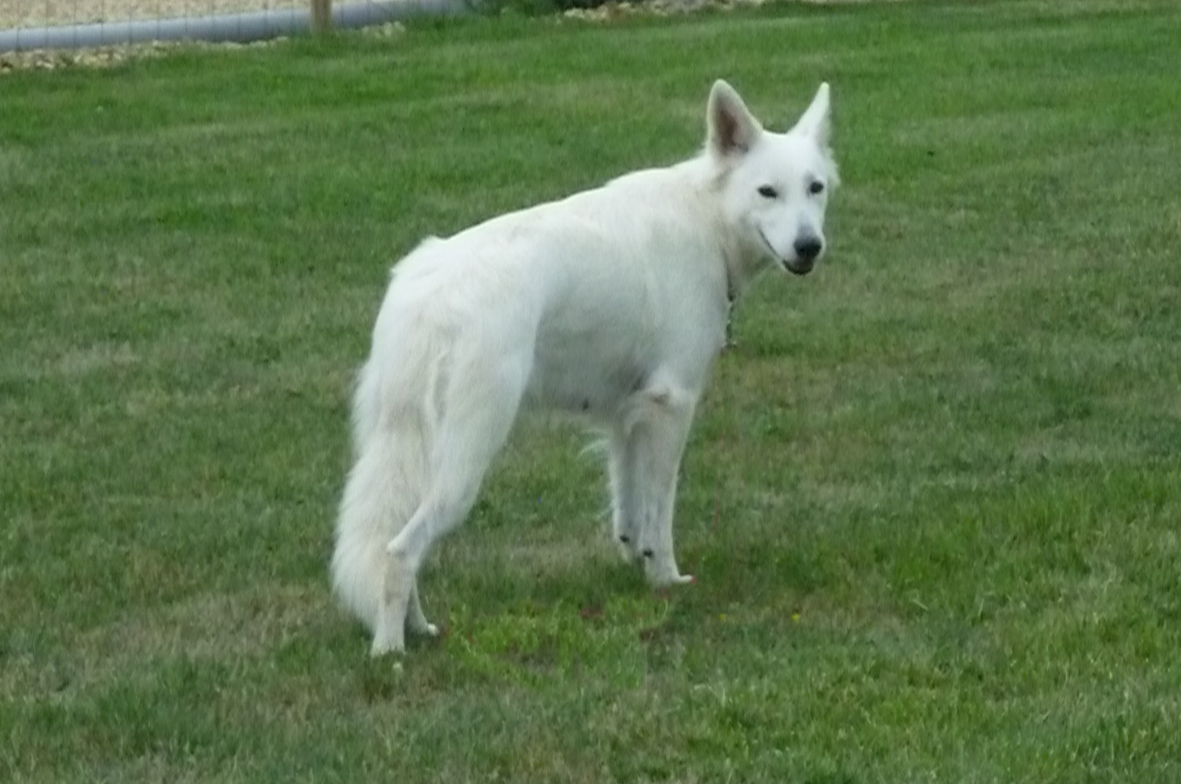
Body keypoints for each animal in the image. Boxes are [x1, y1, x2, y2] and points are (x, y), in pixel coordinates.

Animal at [330, 79, 840, 656]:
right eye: (767, 192)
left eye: (815, 188)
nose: (809, 247)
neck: (707, 220)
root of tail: (427, 291)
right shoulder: (671, 409)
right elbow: (660, 513)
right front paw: (666, 579)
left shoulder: (627, 417)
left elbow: (629, 511)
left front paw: (636, 566)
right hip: (465, 462)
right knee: (399, 552)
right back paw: (391, 650)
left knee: (392, 545)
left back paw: (418, 629)